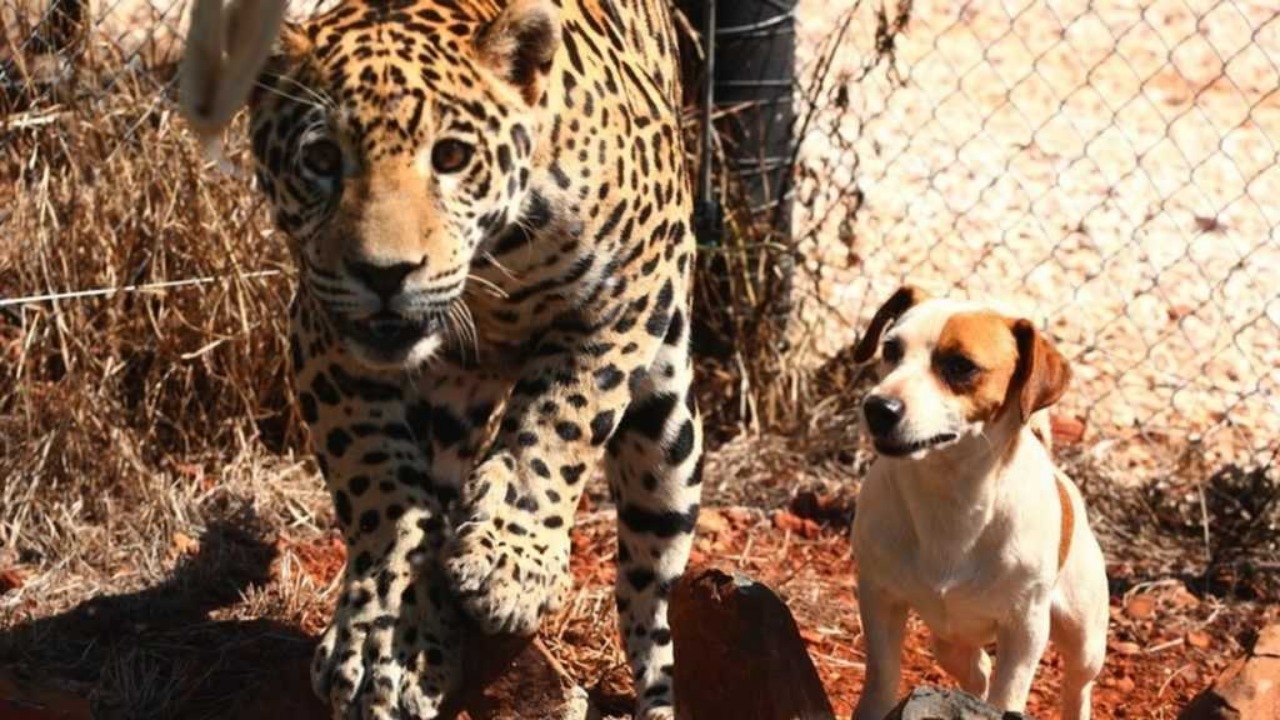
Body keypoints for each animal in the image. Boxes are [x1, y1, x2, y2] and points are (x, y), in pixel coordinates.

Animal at [849, 284, 1111, 717]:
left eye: (961, 366)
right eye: (891, 348)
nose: (878, 408)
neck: (950, 496)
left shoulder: (1025, 628)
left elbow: (1007, 695)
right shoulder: (879, 598)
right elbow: (882, 679)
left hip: (1084, 638)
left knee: (1077, 686)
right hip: (950, 638)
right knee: (977, 670)